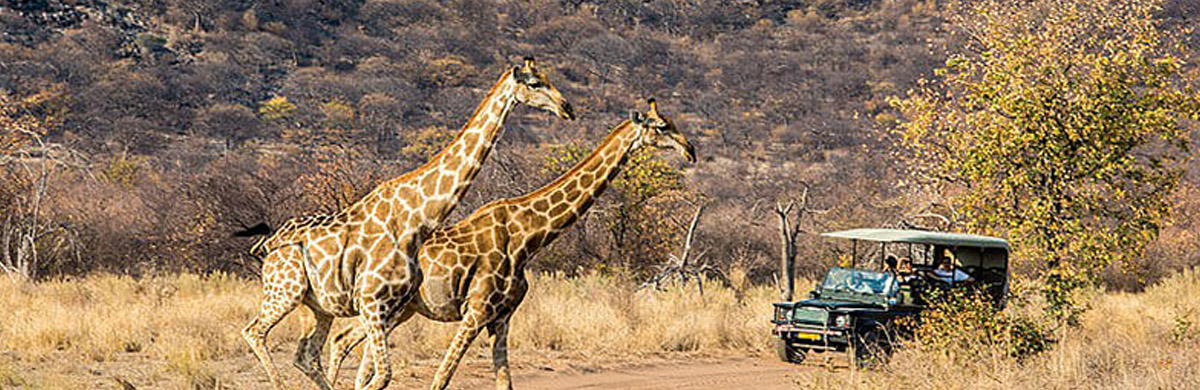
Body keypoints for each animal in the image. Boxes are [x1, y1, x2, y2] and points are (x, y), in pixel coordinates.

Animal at [238, 55, 576, 388]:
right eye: (535, 83)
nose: (567, 108)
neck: (416, 218)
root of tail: (267, 244)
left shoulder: (391, 304)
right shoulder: (372, 302)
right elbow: (382, 375)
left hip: (318, 305)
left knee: (305, 354)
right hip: (286, 291)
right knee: (255, 332)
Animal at [324, 97, 700, 388]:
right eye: (661, 126)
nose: (691, 150)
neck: (528, 237)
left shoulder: (502, 317)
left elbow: (505, 382)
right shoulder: (476, 311)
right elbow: (440, 379)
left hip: (400, 310)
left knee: (349, 346)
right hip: (388, 307)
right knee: (350, 347)